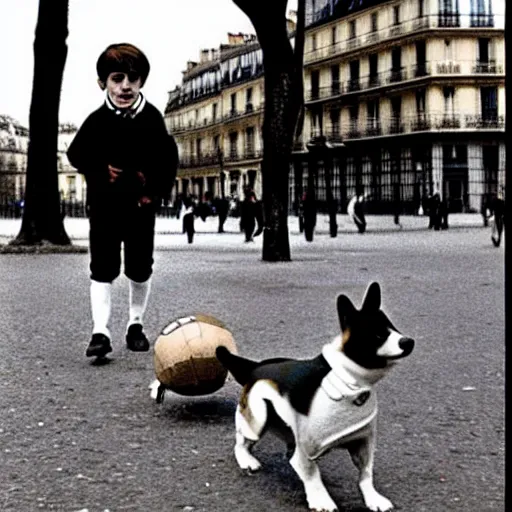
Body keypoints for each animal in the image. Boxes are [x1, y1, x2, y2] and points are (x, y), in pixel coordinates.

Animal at [215, 282, 412, 510]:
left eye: (394, 328)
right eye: (378, 335)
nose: (409, 342)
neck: (348, 378)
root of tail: (254, 367)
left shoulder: (363, 443)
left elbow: (365, 474)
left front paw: (373, 498)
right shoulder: (306, 453)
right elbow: (312, 475)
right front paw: (321, 499)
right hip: (258, 419)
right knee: (242, 440)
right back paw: (246, 459)